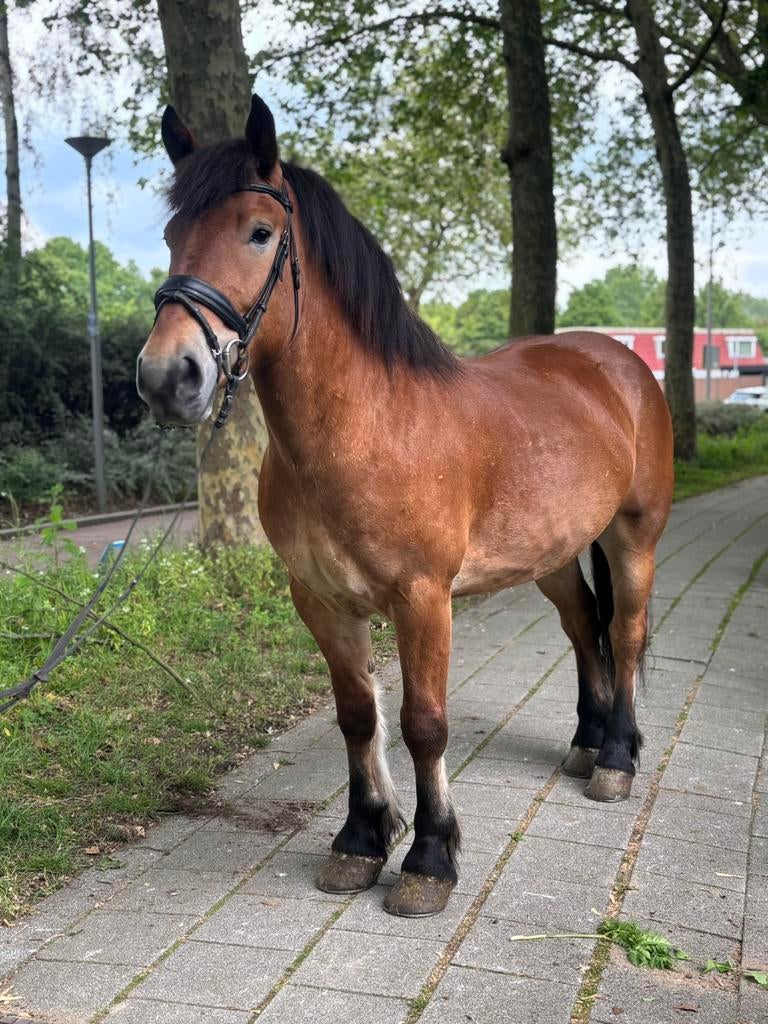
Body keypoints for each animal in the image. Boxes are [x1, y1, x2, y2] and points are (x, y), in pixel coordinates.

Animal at [137, 94, 674, 918]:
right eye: (170, 236)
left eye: (258, 232)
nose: (168, 377)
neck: (367, 427)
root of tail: (621, 362)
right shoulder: (321, 600)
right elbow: (359, 715)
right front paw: (361, 839)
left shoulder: (424, 599)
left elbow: (424, 724)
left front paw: (429, 858)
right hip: (549, 555)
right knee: (586, 628)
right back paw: (587, 743)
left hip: (633, 538)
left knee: (626, 628)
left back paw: (615, 757)